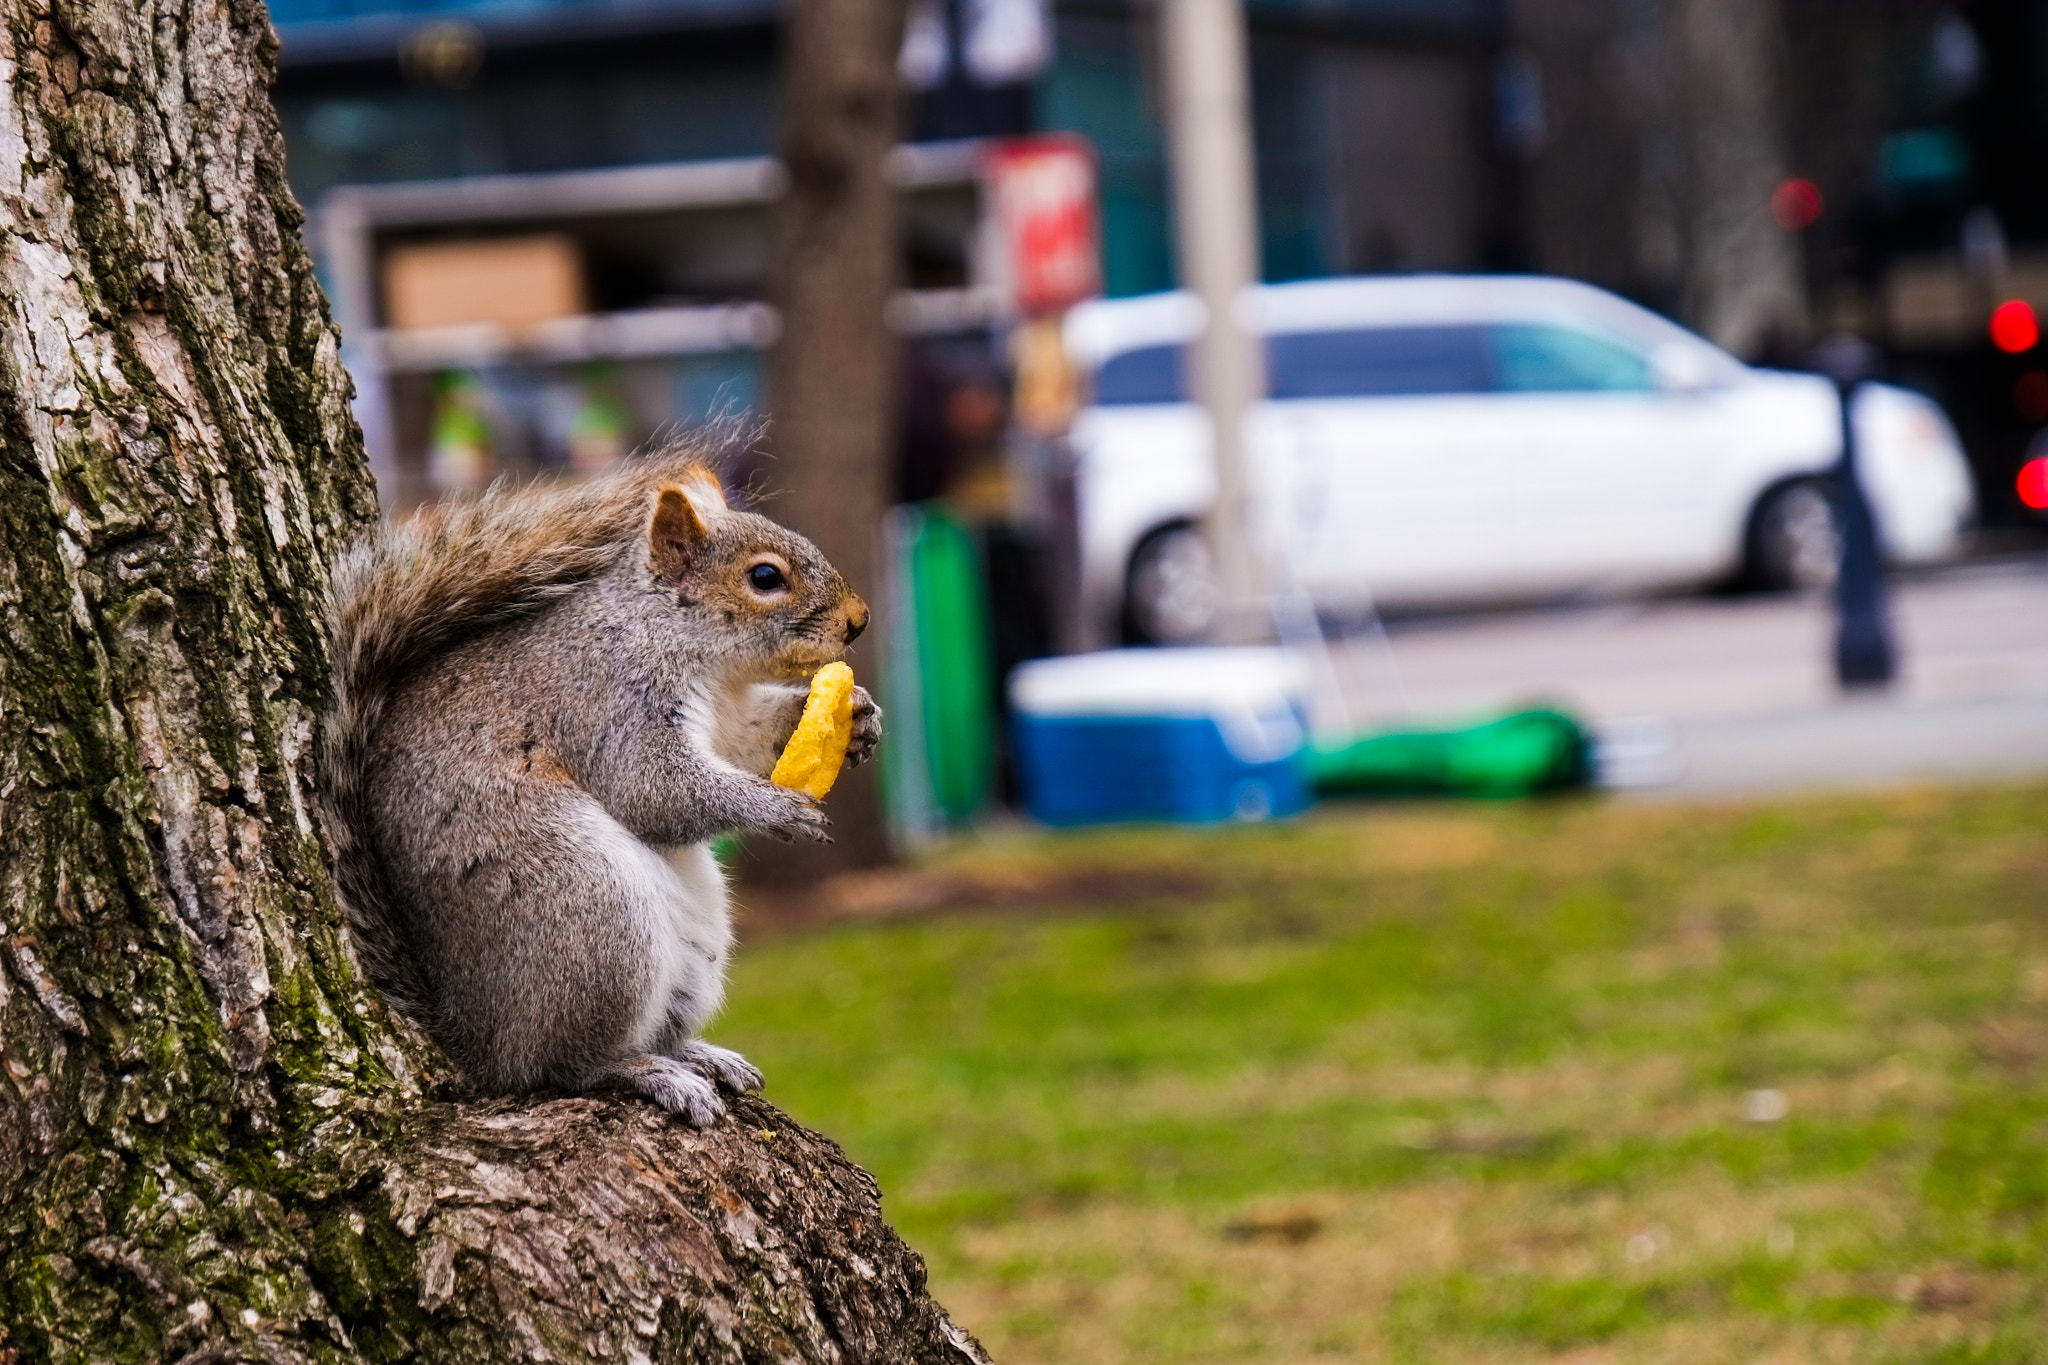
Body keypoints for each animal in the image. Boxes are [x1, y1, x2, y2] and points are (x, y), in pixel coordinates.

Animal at [321, 448, 880, 1121]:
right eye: (766, 577)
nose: (859, 621)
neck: (682, 642)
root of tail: (478, 1043)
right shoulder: (608, 701)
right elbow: (653, 789)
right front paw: (776, 809)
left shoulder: (727, 716)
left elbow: (744, 741)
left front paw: (858, 718)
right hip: (591, 913)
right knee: (560, 1068)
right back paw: (642, 1070)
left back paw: (695, 1054)